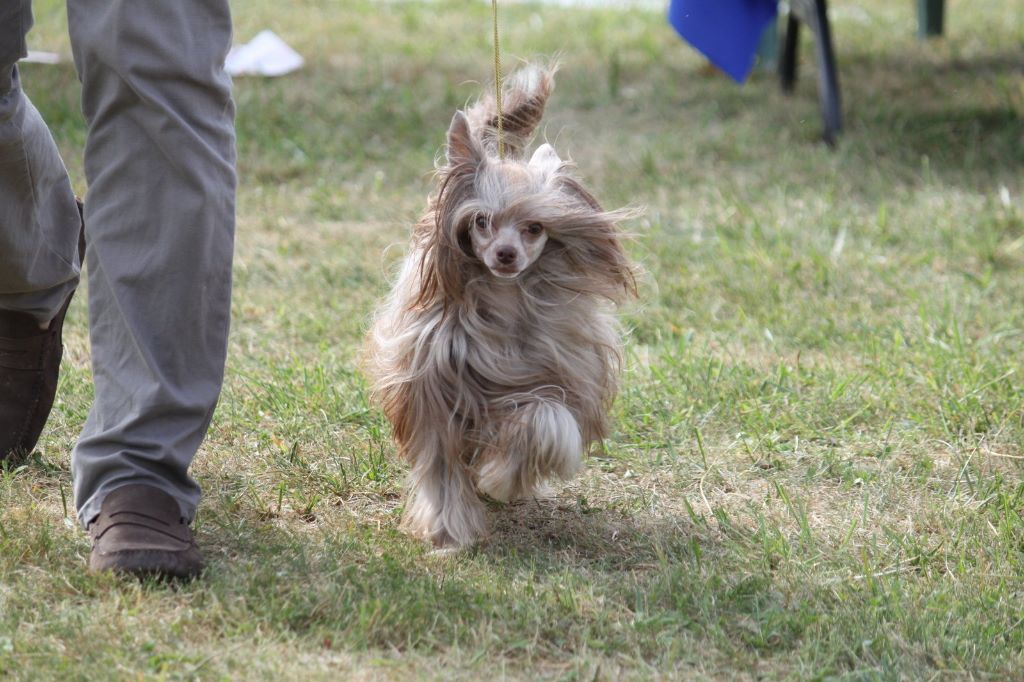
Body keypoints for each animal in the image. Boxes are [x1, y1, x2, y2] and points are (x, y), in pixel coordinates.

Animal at [368, 65, 634, 548]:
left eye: (534, 227)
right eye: (481, 221)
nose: (506, 254)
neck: (501, 300)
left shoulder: (554, 374)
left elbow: (547, 420)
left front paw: (502, 479)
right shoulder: (433, 389)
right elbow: (441, 466)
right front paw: (448, 531)